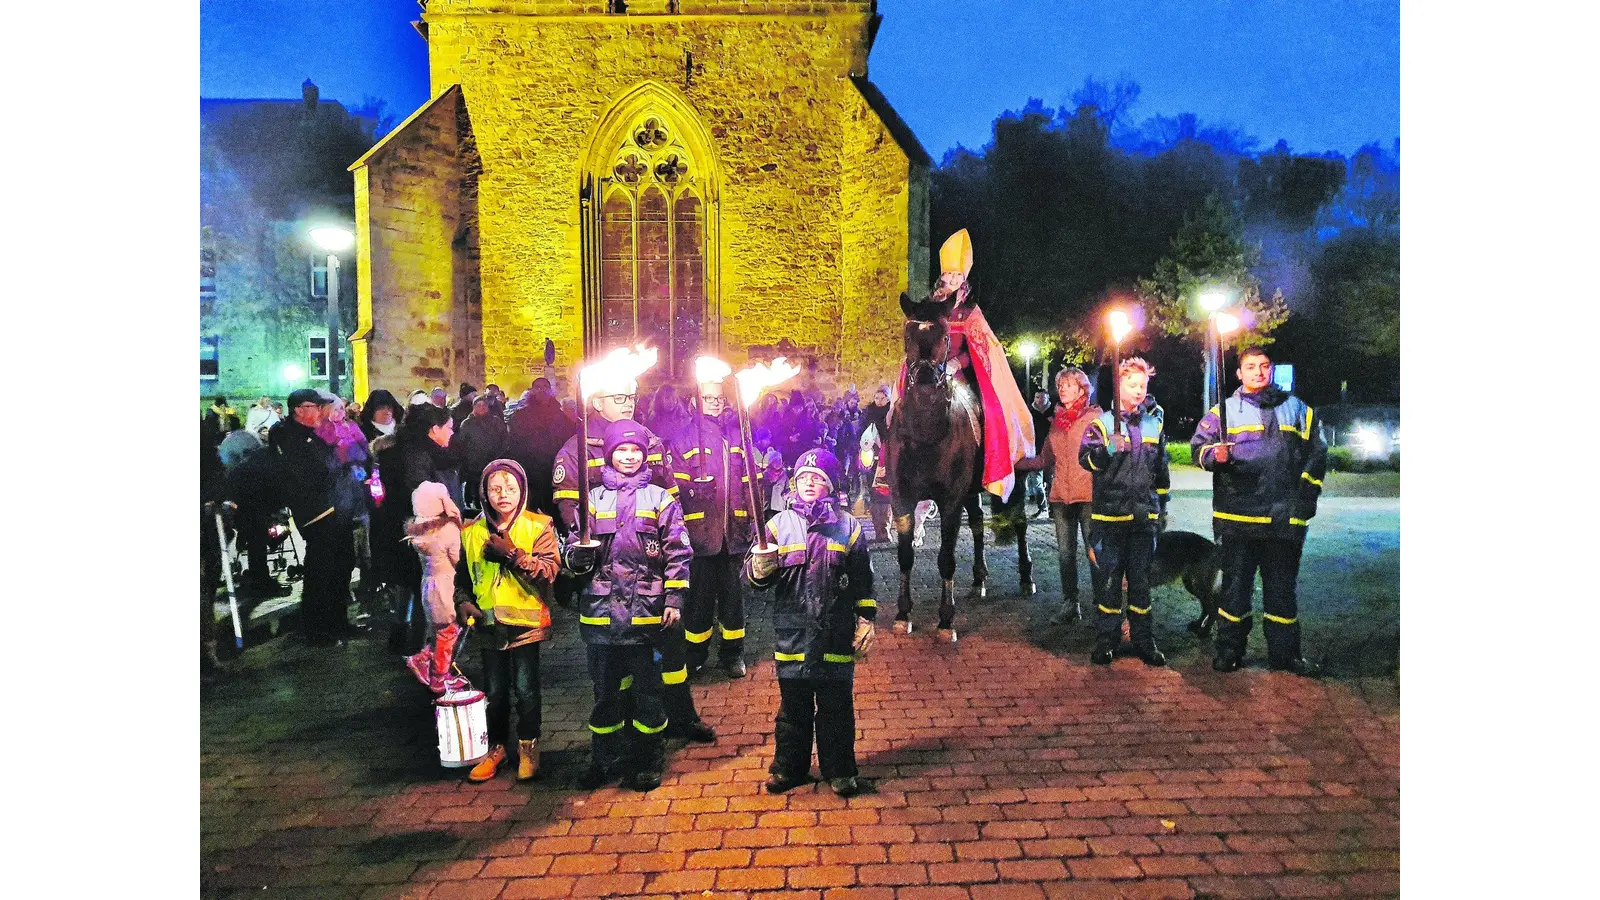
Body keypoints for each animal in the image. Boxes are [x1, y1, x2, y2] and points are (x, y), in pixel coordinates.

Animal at [889, 293, 1036, 637]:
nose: (925, 379)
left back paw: (1026, 577)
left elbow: (946, 557)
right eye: (907, 336)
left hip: (1016, 478)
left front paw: (946, 619)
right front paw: (903, 614)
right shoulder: (902, 498)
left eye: (945, 337)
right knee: (980, 522)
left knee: (1019, 522)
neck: (926, 434)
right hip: (971, 490)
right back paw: (979, 578)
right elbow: (905, 555)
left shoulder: (950, 501)